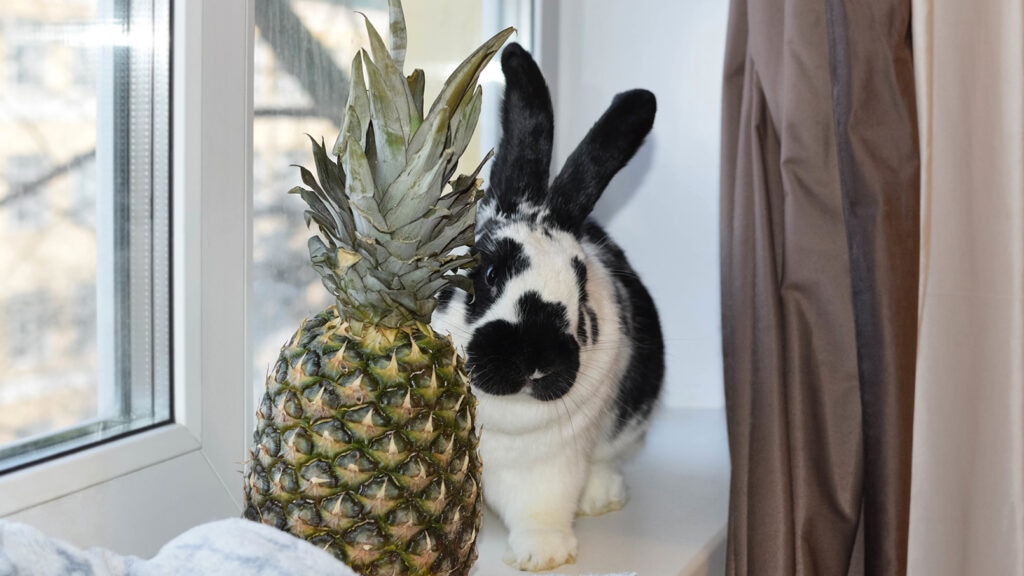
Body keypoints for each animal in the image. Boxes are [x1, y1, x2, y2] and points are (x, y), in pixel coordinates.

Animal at [432, 42, 665, 572]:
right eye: (489, 275)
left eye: (580, 290)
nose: (536, 360)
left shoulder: (550, 465)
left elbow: (543, 507)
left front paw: (543, 555)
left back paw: (601, 496)